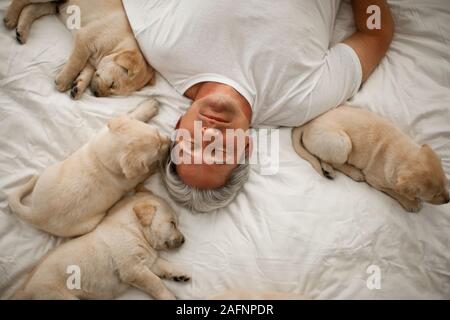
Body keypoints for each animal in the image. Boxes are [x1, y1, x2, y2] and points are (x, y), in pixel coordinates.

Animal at [3, 0, 155, 99]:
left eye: (113, 92)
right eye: (112, 84)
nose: (97, 95)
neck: (117, 45)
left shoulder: (93, 59)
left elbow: (87, 72)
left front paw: (78, 87)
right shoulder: (84, 40)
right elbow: (76, 63)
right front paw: (63, 81)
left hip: (55, 4)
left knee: (31, 8)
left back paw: (21, 31)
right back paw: (10, 17)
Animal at [8, 99, 171, 236]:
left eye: (157, 132)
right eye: (157, 149)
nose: (170, 141)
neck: (101, 157)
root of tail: (34, 213)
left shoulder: (104, 132)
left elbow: (132, 116)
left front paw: (148, 107)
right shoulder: (130, 180)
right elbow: (145, 172)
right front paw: (158, 165)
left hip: (49, 171)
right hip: (86, 225)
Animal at [11, 188, 188, 300]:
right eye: (172, 223)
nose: (184, 240)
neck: (134, 230)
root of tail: (26, 290)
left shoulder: (148, 261)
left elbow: (164, 264)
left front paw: (178, 273)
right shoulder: (134, 269)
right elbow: (156, 283)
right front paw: (169, 296)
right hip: (61, 296)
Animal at [294, 106, 448, 214]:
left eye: (446, 183)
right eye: (434, 195)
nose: (448, 200)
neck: (405, 156)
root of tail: (307, 124)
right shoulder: (375, 180)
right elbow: (394, 191)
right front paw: (411, 203)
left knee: (322, 157)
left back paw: (327, 169)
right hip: (342, 142)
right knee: (334, 161)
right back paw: (353, 172)